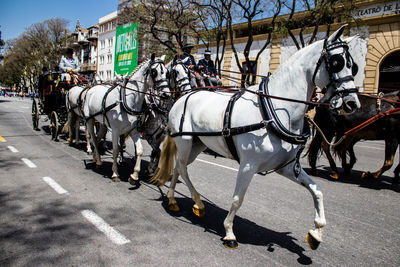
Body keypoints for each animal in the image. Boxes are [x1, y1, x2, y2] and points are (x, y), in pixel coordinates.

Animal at [83, 54, 170, 184]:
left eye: (167, 73)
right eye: (154, 72)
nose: (166, 94)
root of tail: (91, 88)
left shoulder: (134, 130)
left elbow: (140, 150)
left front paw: (134, 175)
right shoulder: (116, 131)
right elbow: (115, 150)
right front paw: (115, 173)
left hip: (103, 123)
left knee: (98, 138)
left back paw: (95, 158)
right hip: (89, 120)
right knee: (93, 138)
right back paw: (98, 159)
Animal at [152, 25, 360, 251]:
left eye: (353, 66)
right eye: (337, 62)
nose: (352, 103)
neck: (273, 110)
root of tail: (184, 96)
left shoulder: (287, 168)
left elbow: (317, 190)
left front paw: (316, 232)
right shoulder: (248, 165)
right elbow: (237, 199)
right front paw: (229, 232)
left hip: (197, 146)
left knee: (178, 167)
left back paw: (173, 200)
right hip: (185, 142)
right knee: (182, 168)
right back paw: (197, 202)